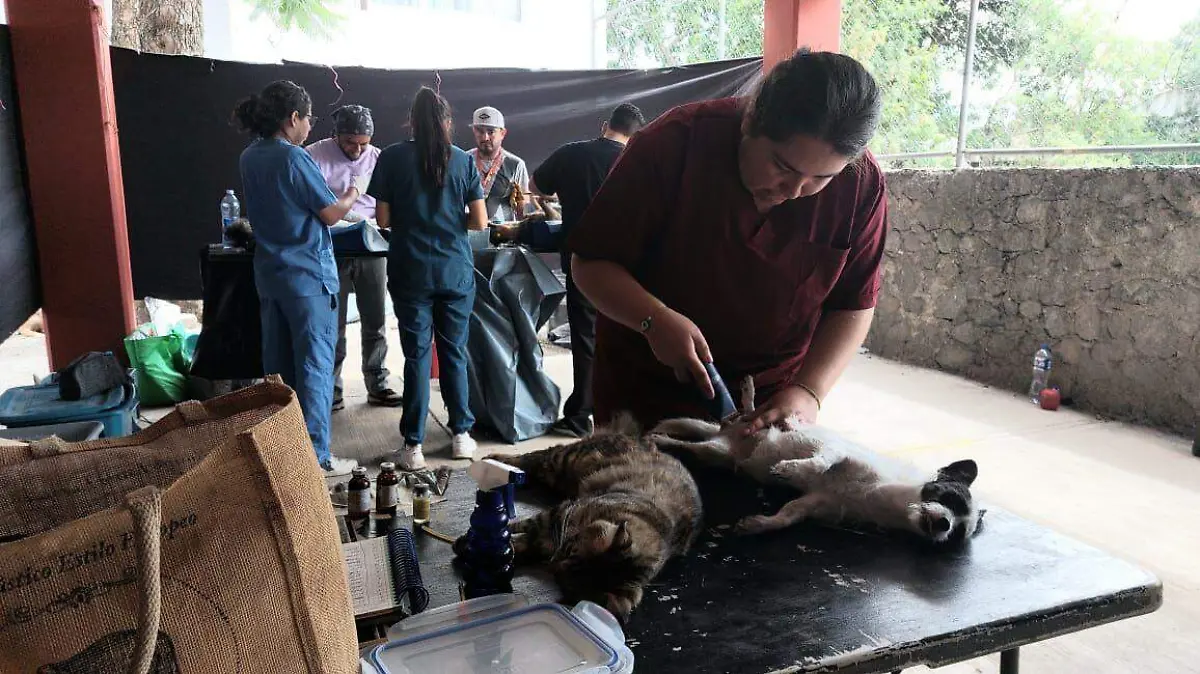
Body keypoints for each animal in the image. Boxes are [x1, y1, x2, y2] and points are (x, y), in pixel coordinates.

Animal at [475, 412, 700, 623]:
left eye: (561, 580)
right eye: (570, 549)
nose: (552, 562)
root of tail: (634, 436)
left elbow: (523, 544)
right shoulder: (562, 512)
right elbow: (523, 528)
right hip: (563, 460)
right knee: (532, 457)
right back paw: (494, 459)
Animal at [648, 374, 984, 542]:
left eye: (957, 533)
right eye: (947, 497)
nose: (945, 524)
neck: (877, 495)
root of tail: (727, 433)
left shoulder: (815, 502)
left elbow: (787, 516)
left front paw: (759, 524)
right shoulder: (836, 453)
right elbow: (821, 462)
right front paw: (789, 468)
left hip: (716, 452)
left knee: (692, 444)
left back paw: (664, 437)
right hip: (743, 427)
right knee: (750, 411)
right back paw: (747, 393)